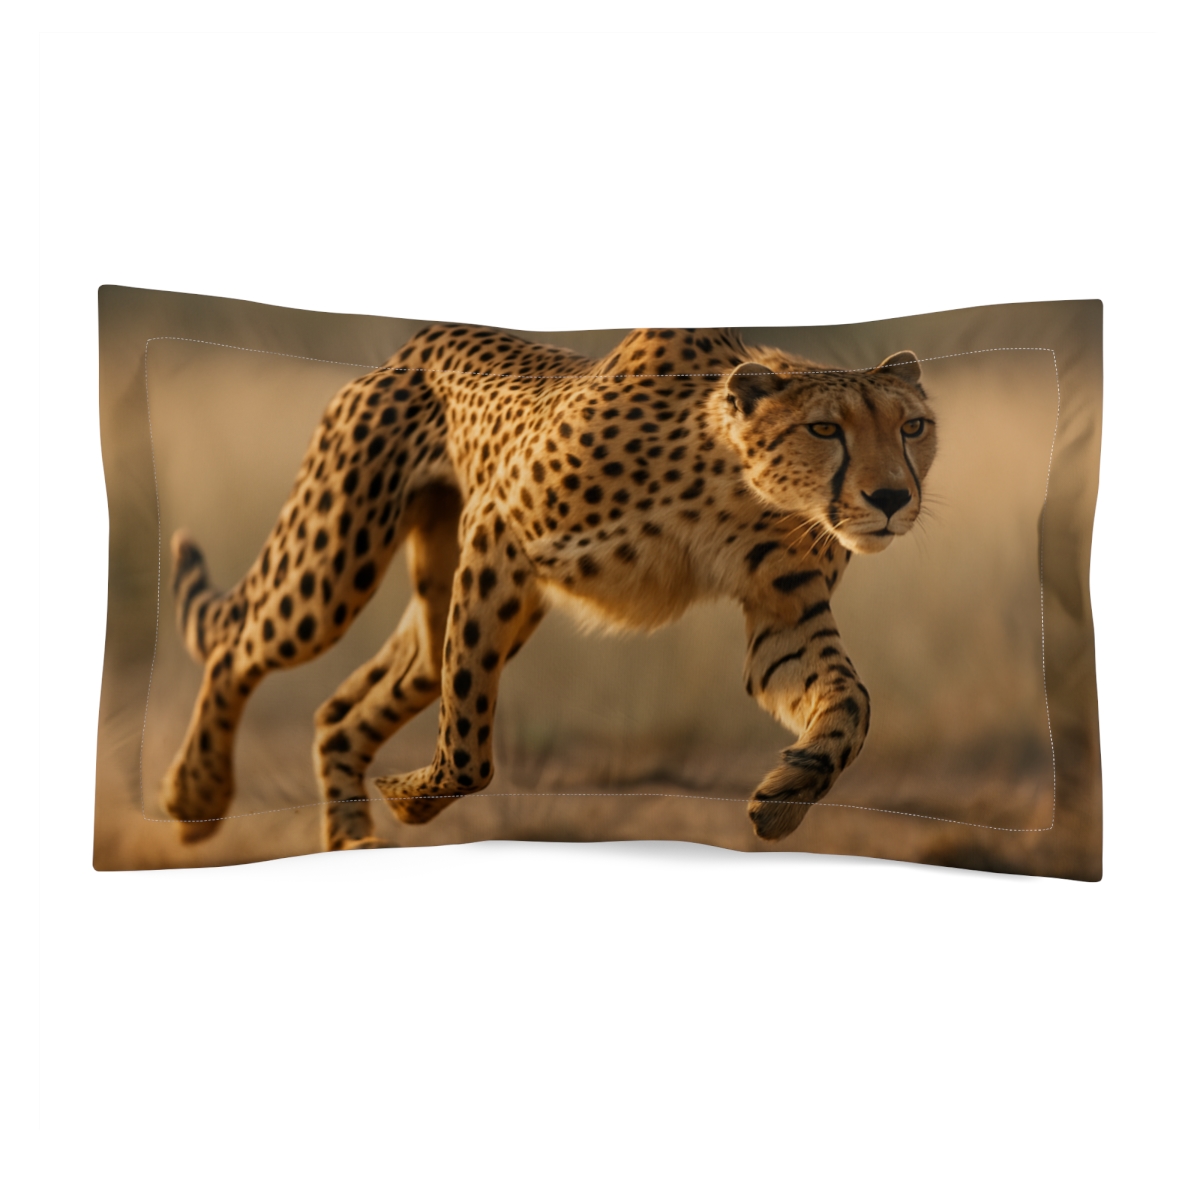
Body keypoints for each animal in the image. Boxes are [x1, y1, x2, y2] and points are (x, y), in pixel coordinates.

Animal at [161, 325, 936, 850]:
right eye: (824, 428)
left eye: (914, 427)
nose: (893, 498)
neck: (741, 485)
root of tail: (409, 345)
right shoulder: (498, 529)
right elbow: (469, 748)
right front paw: (412, 798)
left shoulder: (785, 611)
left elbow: (851, 701)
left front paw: (791, 789)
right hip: (334, 572)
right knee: (238, 650)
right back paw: (197, 792)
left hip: (461, 603)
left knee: (345, 711)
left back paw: (353, 840)